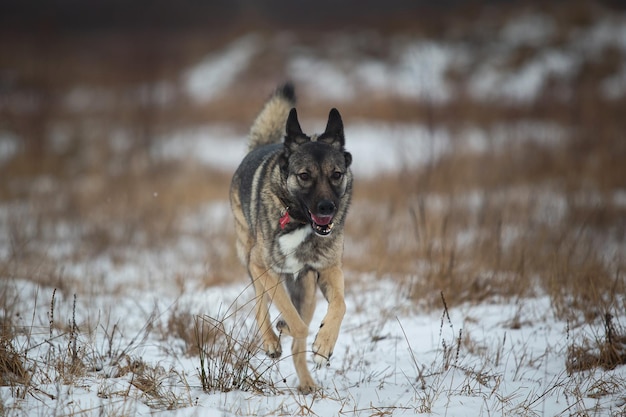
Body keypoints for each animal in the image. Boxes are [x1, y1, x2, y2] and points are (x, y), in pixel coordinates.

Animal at [228, 83, 352, 392]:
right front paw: (289, 329)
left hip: (306, 289)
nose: (327, 208)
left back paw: (307, 382)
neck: (299, 221)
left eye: (336, 174)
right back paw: (272, 340)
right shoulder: (264, 268)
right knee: (261, 303)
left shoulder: (329, 270)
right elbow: (295, 322)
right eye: (304, 175)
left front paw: (324, 345)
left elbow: (340, 305)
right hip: (251, 260)